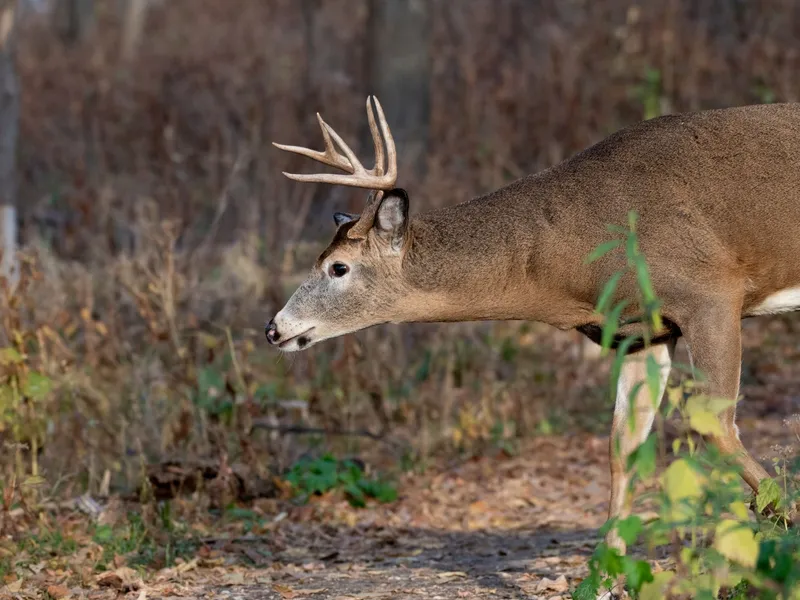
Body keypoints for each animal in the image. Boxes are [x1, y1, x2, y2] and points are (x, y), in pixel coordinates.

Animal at [266, 96, 800, 594]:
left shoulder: (712, 293)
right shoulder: (642, 331)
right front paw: (604, 577)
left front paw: (782, 520)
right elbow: (622, 444)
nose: (274, 328)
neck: (576, 259)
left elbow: (717, 426)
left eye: (338, 267)